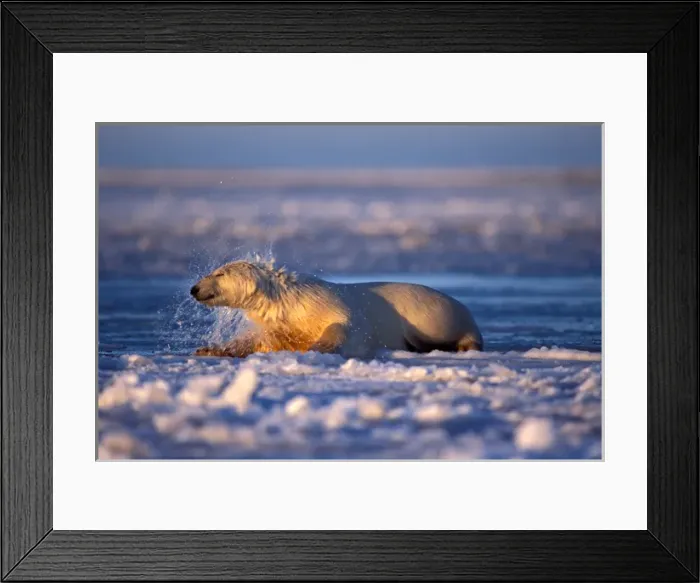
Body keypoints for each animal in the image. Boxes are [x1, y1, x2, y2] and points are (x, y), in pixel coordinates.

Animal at [190, 259, 483, 359]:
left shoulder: (324, 302)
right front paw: (210, 349)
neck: (288, 300)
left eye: (219, 273)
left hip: (432, 312)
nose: (193, 289)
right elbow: (260, 340)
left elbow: (347, 326)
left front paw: (318, 346)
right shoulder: (280, 324)